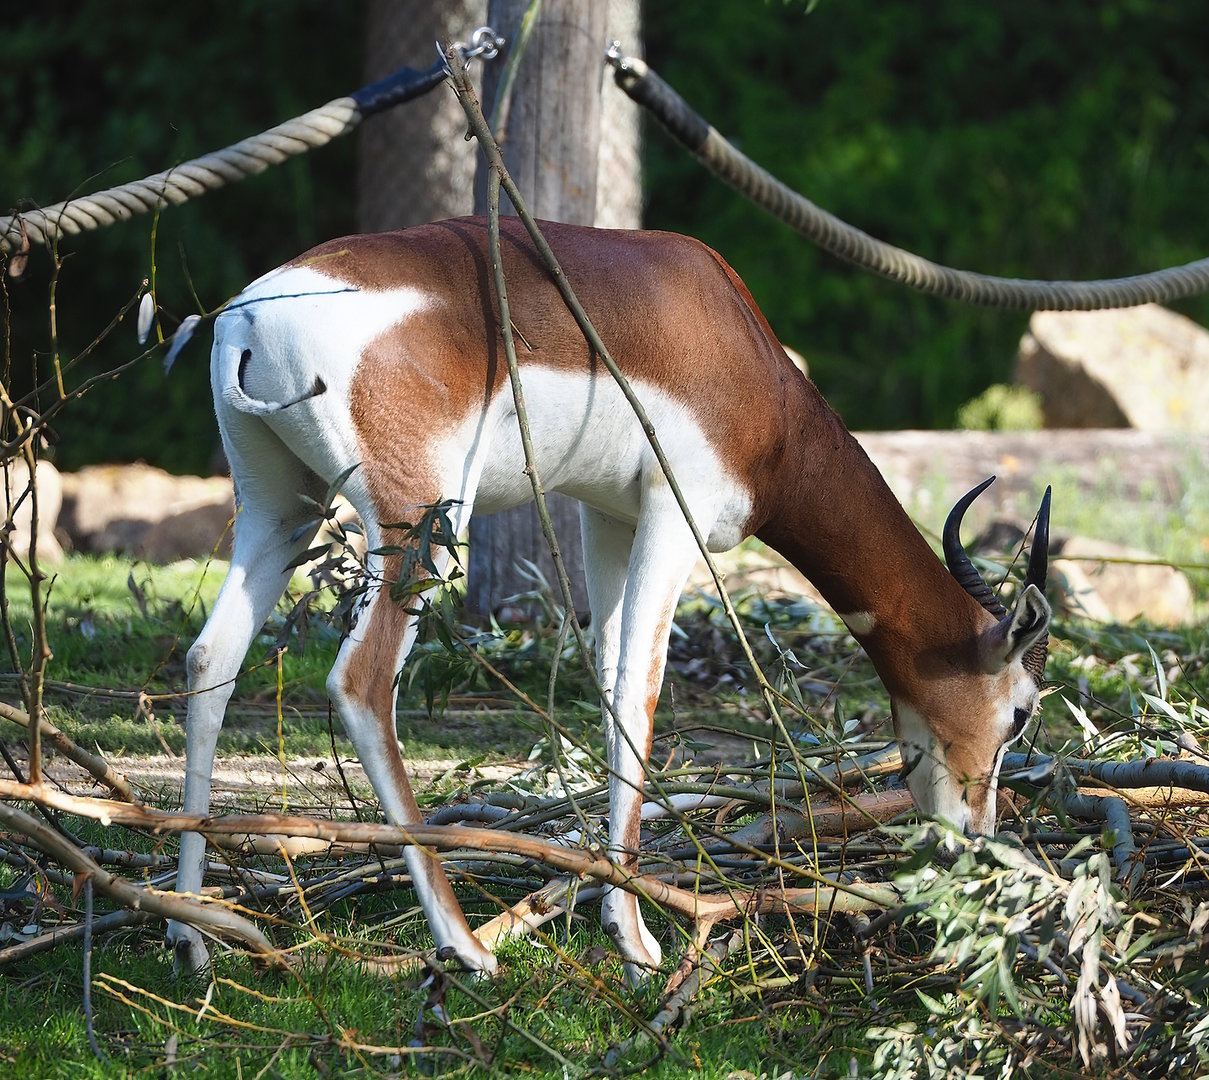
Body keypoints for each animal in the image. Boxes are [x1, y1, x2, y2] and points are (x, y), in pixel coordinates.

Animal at [167, 216, 1052, 985]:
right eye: (1020, 713)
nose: (977, 840)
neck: (738, 350)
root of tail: (250, 318)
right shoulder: (673, 510)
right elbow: (640, 687)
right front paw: (633, 941)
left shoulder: (609, 515)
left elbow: (602, 677)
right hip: (420, 524)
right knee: (360, 682)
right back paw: (465, 947)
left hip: (280, 507)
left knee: (211, 659)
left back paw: (190, 935)